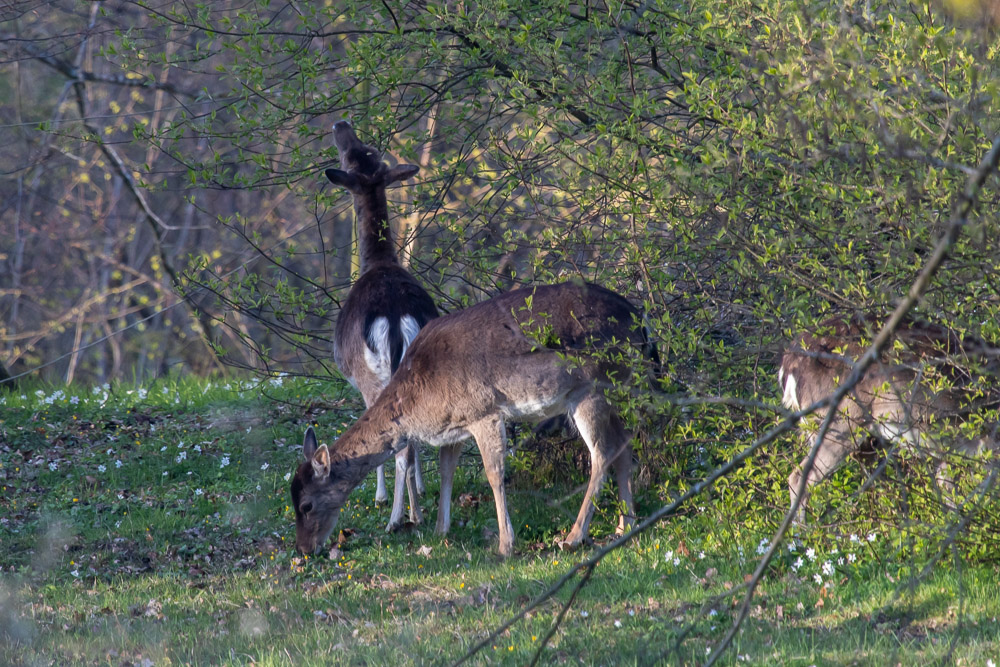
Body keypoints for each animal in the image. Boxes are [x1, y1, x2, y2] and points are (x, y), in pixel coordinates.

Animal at [290, 282, 652, 560]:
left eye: (306, 505)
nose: (305, 549)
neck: (419, 401)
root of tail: (641, 320)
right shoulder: (455, 426)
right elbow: (446, 470)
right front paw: (440, 530)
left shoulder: (485, 412)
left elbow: (494, 474)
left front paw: (506, 545)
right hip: (616, 388)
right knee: (624, 444)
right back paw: (626, 525)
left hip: (592, 387)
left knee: (603, 452)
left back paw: (574, 537)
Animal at [324, 121, 446, 532]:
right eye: (368, 151)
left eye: (351, 155)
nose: (340, 124)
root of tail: (394, 321)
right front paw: (420, 490)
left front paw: (380, 497)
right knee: (411, 437)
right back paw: (416, 511)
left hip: (373, 377)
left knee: (395, 444)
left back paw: (395, 518)